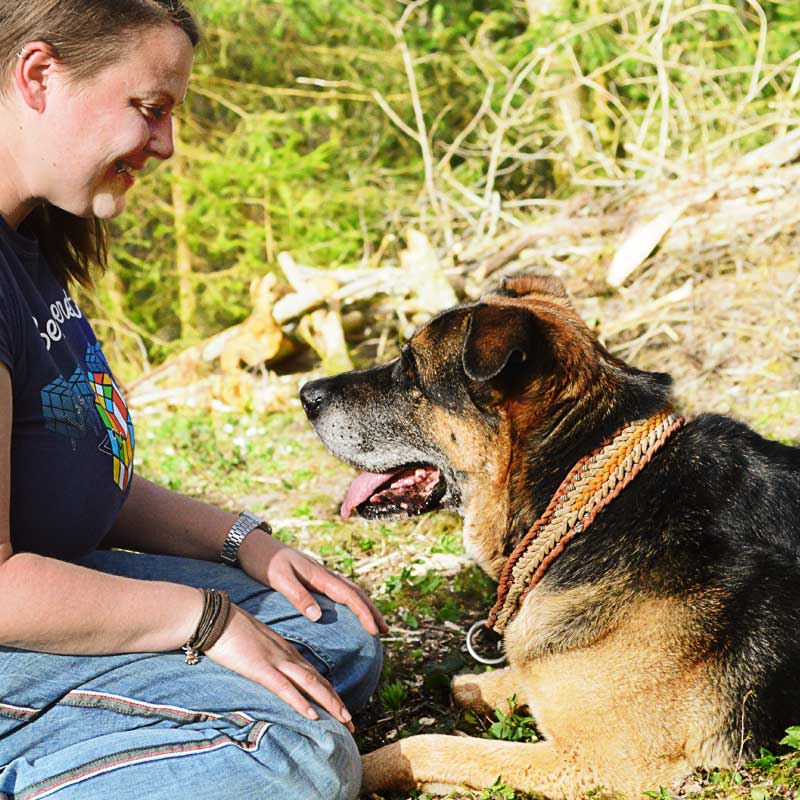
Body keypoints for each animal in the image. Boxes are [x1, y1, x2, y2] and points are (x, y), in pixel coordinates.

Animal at [298, 274, 800, 792]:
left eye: (410, 370)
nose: (305, 394)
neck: (582, 504)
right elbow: (505, 680)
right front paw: (473, 684)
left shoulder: (597, 765)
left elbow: (431, 745)